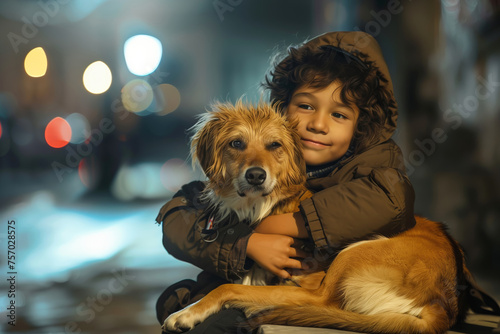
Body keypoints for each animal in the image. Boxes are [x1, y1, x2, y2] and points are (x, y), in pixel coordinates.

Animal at [163, 102, 496, 334]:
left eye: (274, 145)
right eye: (236, 143)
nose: (256, 175)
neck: (263, 207)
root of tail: (444, 304)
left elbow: (226, 287)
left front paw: (185, 314)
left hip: (351, 256)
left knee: (317, 301)